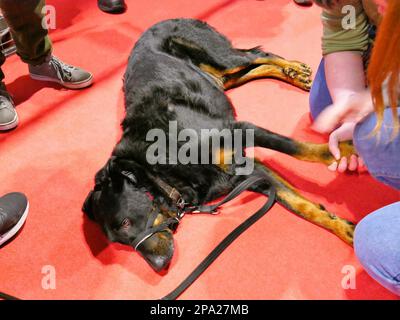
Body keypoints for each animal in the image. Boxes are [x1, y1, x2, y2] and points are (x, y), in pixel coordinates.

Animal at [82, 18, 356, 272]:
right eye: (119, 242)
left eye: (125, 223)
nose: (158, 266)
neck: (158, 171)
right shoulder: (250, 172)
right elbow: (301, 205)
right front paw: (344, 229)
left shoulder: (241, 129)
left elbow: (301, 150)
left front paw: (344, 150)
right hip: (221, 78)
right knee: (255, 66)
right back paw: (293, 74)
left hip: (221, 58)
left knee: (258, 55)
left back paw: (293, 68)